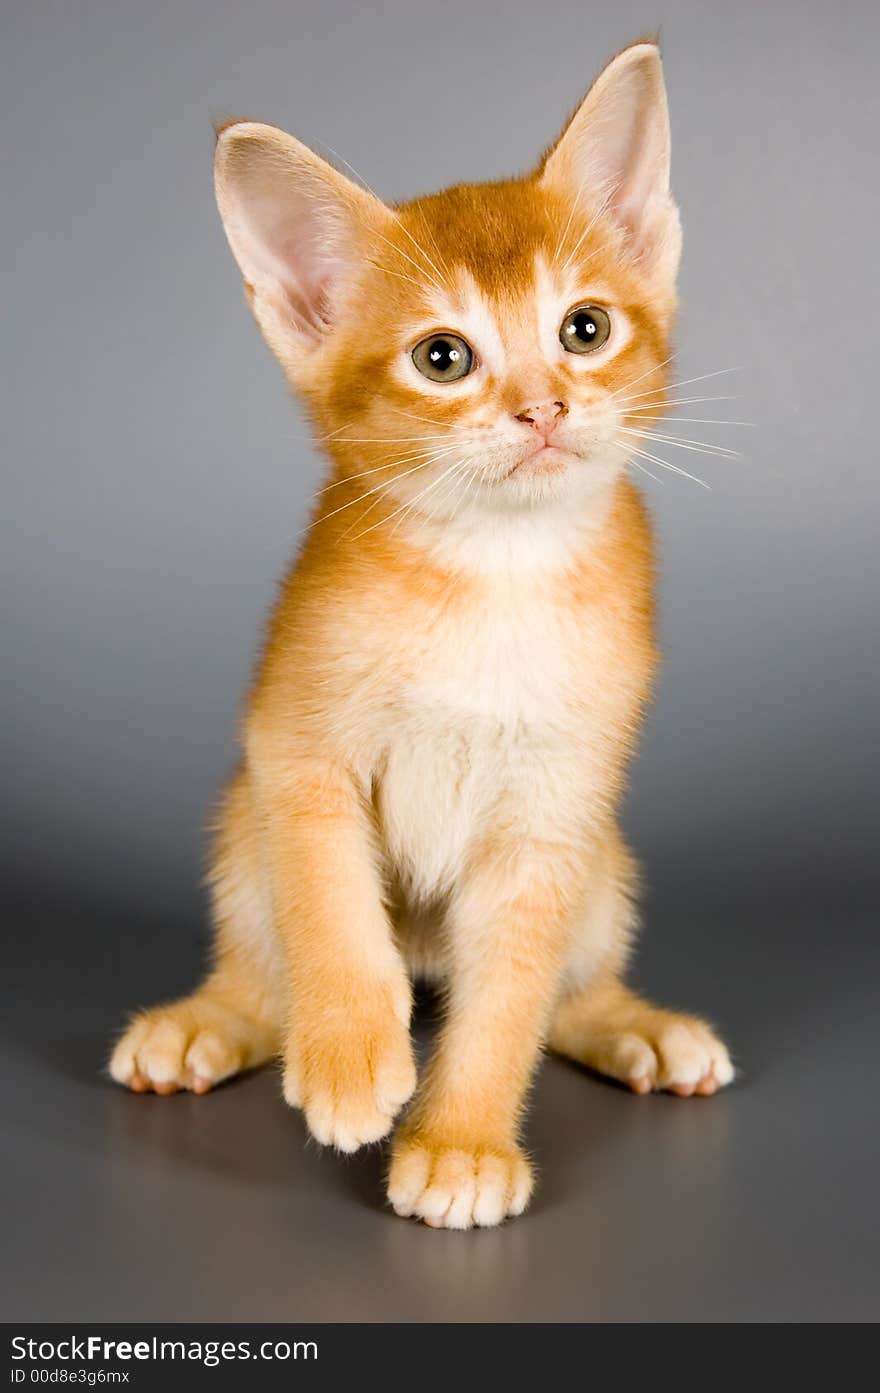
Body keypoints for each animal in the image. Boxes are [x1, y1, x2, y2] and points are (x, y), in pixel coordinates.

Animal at [111, 38, 735, 1225]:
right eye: (442, 358)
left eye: (585, 329)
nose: (543, 407)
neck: (495, 571)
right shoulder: (293, 747)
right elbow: (329, 903)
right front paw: (352, 1053)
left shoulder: (555, 813)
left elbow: (510, 1000)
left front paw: (461, 1143)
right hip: (240, 826)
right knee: (261, 961)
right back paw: (212, 1022)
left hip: (605, 862)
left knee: (564, 987)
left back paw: (634, 1027)